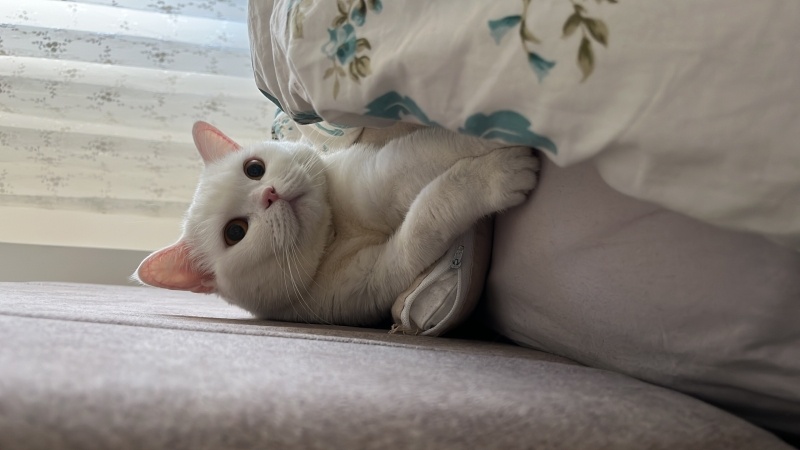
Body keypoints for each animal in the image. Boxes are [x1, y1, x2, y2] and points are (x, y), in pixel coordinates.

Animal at [138, 122, 536, 326]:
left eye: (254, 168)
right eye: (235, 232)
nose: (269, 194)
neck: (336, 231)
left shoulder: (387, 174)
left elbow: (437, 148)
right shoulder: (381, 272)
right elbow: (430, 212)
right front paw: (499, 175)